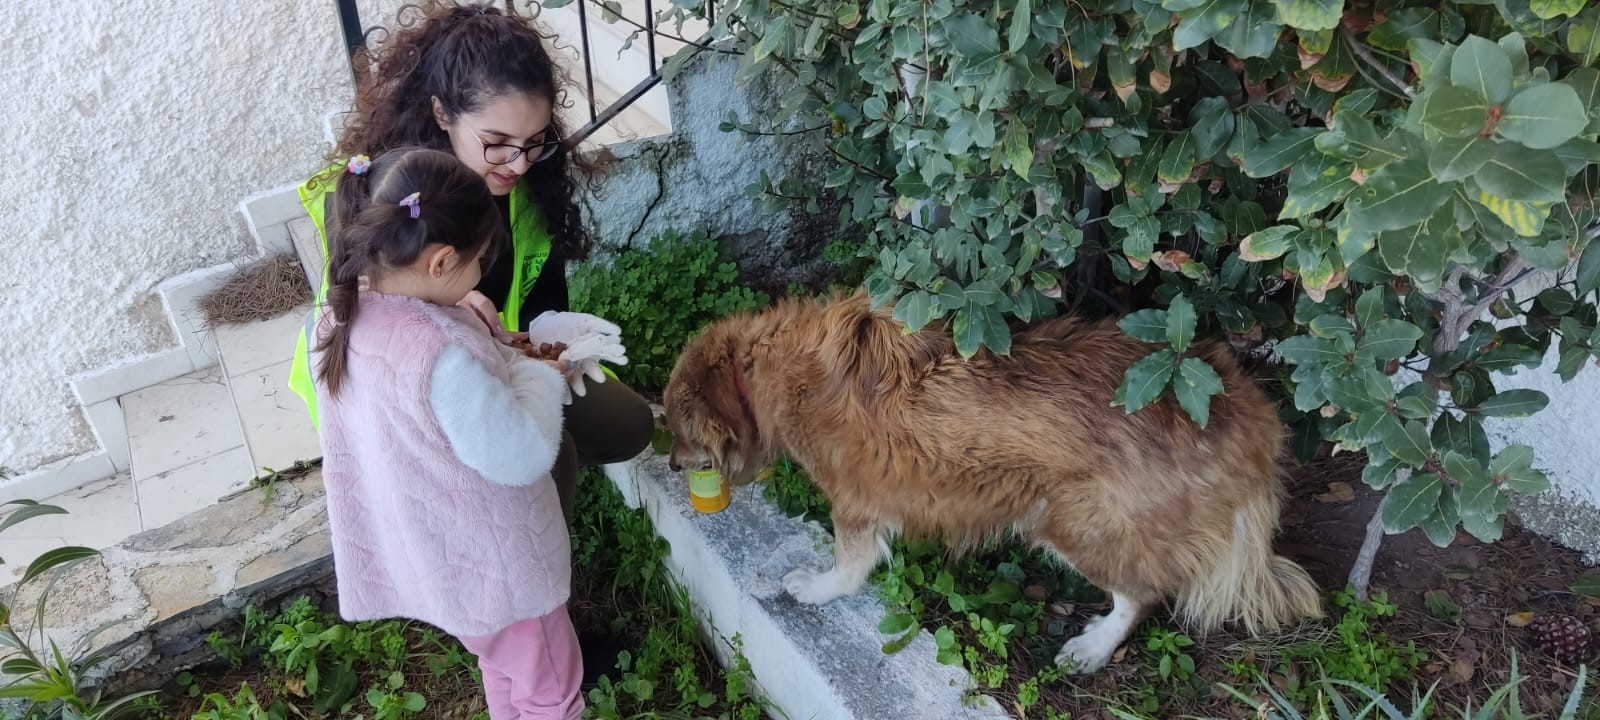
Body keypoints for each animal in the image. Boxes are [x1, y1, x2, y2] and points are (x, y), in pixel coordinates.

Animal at [656, 289, 1318, 672]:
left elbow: (848, 568)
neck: (769, 369)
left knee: (1143, 593)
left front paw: (814, 589)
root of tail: (1250, 415)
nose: (669, 465)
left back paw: (1092, 648)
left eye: (682, 431)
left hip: (1070, 522)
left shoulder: (856, 503)